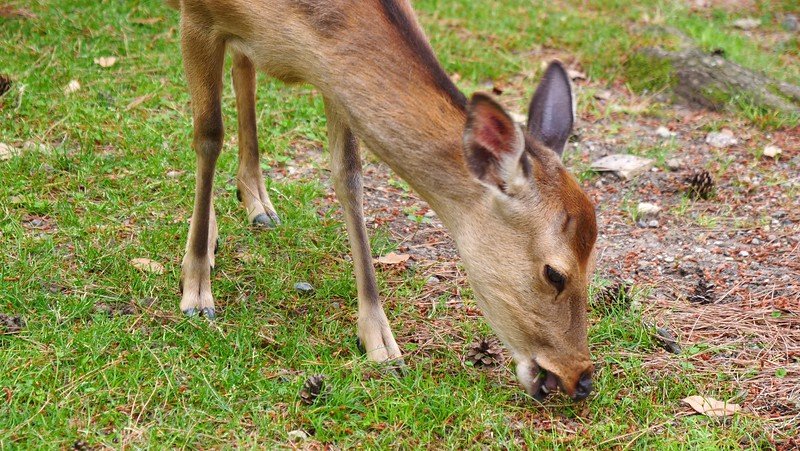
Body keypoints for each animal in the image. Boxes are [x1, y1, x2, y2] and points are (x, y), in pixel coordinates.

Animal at [167, 0, 598, 401]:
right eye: (554, 273)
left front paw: (381, 343)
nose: (581, 378)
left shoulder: (332, 76)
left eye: (593, 261)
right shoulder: (198, 18)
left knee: (244, 65)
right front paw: (196, 292)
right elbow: (208, 137)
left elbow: (349, 176)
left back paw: (258, 203)